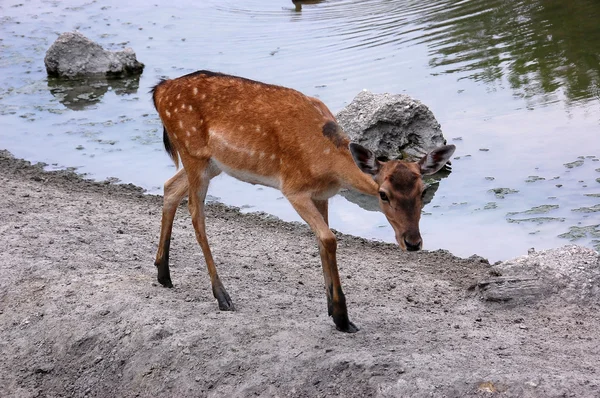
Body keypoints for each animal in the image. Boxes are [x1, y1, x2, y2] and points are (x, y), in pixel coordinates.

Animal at [151, 70, 454, 332]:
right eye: (383, 194)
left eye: (422, 191)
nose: (413, 242)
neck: (327, 164)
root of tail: (159, 91)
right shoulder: (294, 188)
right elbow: (330, 239)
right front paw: (343, 318)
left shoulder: (322, 195)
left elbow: (322, 241)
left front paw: (332, 309)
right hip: (192, 152)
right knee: (196, 211)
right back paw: (222, 296)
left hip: (212, 163)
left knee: (169, 188)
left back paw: (163, 274)